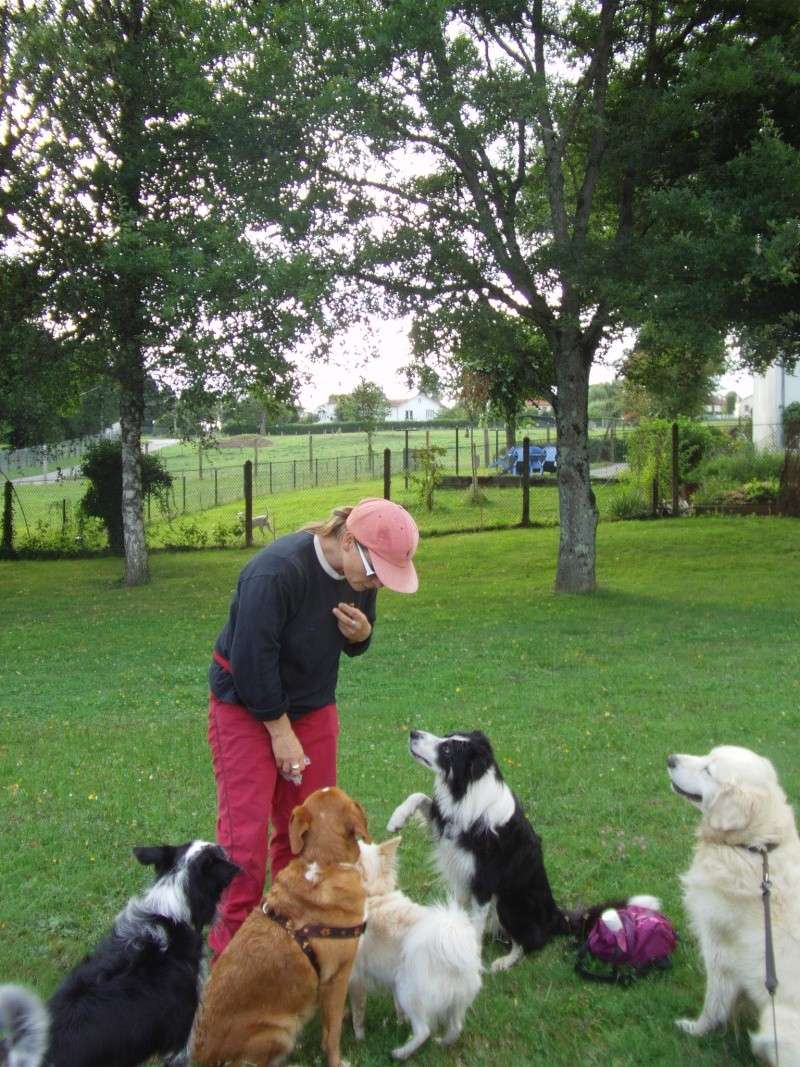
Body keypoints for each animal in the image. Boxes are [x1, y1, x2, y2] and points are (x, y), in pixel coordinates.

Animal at [193, 785, 371, 1067]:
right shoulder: (338, 975)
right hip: (279, 1031)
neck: (324, 861)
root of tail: (200, 1056)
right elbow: (332, 1033)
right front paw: (336, 1059)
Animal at [349, 840, 482, 1058]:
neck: (374, 894)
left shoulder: (356, 978)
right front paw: (399, 1021)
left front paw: (359, 1039)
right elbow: (396, 1006)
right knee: (456, 1027)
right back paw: (442, 1043)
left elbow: (358, 1013)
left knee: (423, 1031)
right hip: (455, 1001)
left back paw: (400, 1053)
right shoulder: (392, 980)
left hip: (409, 990)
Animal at [388, 734, 657, 977]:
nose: (413, 733)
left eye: (446, 749)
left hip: (508, 903)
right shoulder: (447, 827)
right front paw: (396, 818)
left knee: (528, 943)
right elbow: (420, 796)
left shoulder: (484, 885)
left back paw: (504, 961)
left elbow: (477, 928)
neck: (469, 791)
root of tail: (555, 915)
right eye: (445, 736)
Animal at [665, 746, 800, 1062]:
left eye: (708, 771)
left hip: (773, 1026)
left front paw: (695, 1029)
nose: (670, 759)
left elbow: (714, 1002)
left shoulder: (718, 949)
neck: (755, 847)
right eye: (705, 756)